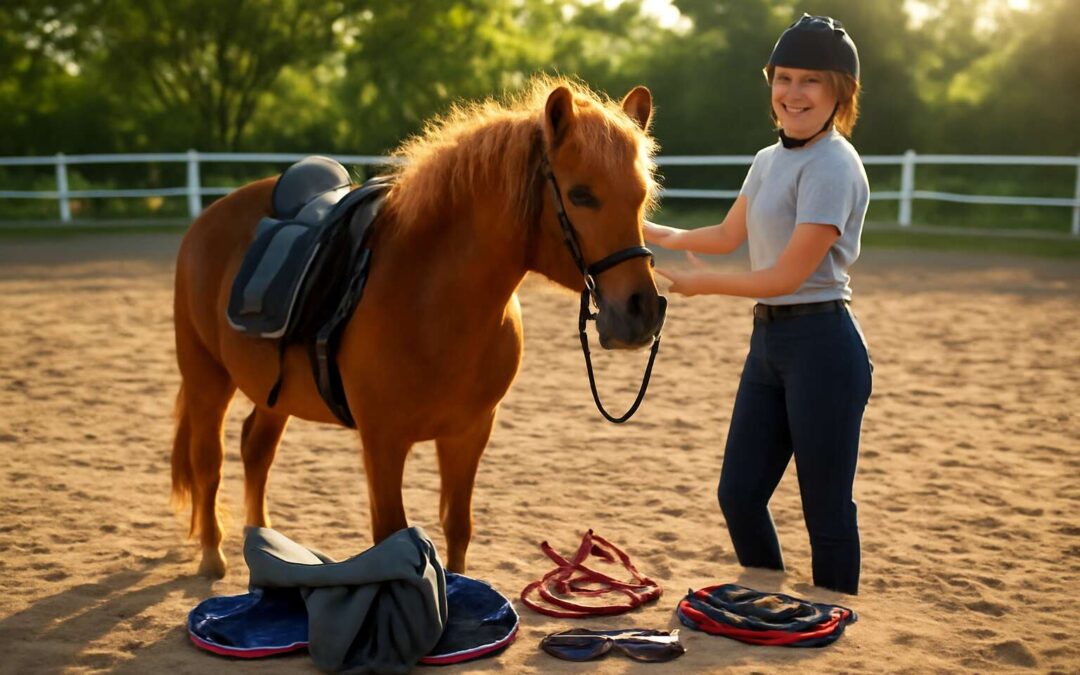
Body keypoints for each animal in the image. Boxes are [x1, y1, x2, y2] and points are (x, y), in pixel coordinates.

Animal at [171, 76, 665, 578]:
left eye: (642, 197)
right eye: (581, 195)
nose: (642, 311)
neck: (430, 299)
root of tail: (211, 216)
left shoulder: (469, 434)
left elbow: (458, 525)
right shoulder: (383, 442)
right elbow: (391, 536)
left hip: (275, 395)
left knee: (256, 450)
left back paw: (264, 540)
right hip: (206, 377)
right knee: (208, 462)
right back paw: (213, 555)